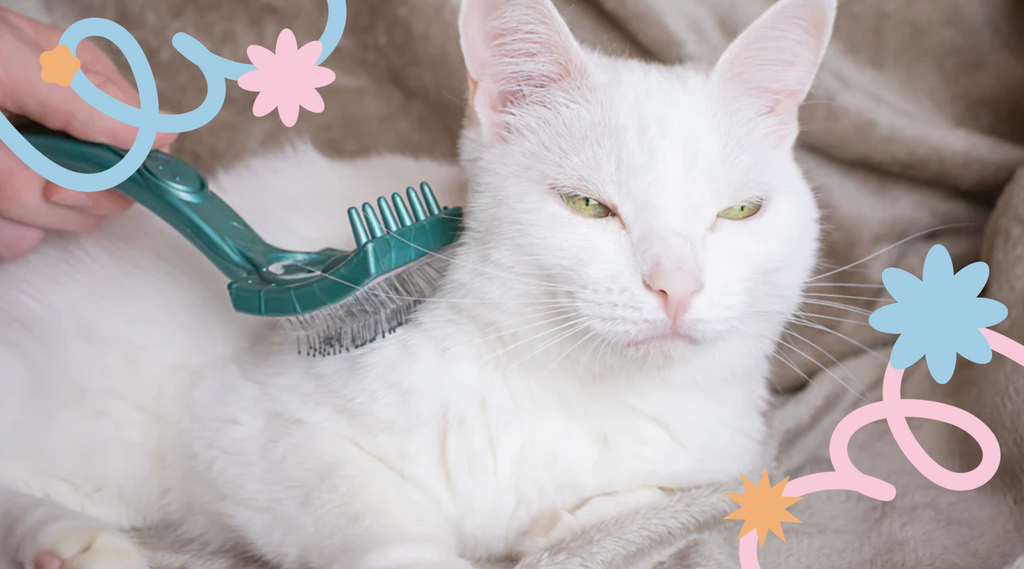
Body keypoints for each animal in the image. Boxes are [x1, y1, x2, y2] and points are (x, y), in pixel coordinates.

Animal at [0, 0, 831, 564]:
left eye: (739, 211)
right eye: (589, 205)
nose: (676, 285)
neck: (570, 389)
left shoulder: (722, 454)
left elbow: (671, 492)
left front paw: (555, 522)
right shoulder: (251, 427)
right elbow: (378, 523)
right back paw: (70, 542)